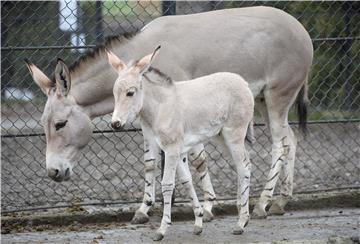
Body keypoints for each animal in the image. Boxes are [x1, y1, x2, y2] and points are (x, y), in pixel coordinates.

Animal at [108, 46, 255, 241]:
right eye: (114, 93)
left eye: (130, 93)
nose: (115, 124)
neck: (160, 107)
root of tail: (243, 82)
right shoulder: (171, 149)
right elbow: (187, 181)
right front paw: (198, 222)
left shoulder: (171, 150)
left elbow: (167, 185)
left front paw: (162, 229)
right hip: (222, 137)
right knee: (244, 166)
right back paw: (242, 217)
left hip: (234, 135)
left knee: (243, 167)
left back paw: (241, 222)